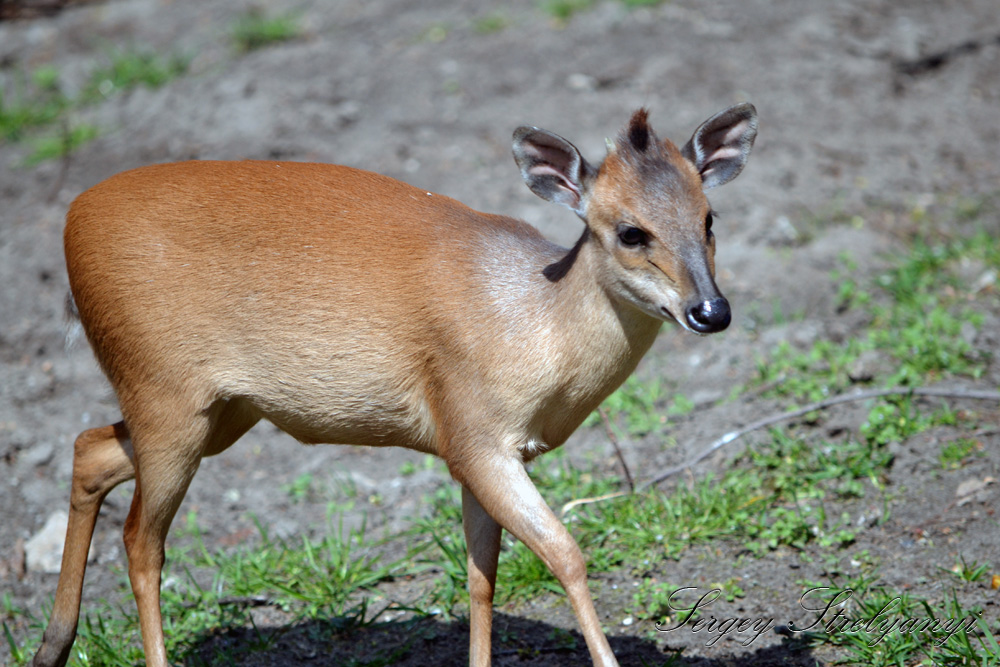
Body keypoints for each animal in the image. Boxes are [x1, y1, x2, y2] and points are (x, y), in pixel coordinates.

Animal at [33, 104, 756, 667]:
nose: (712, 311)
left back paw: (53, 643)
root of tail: (71, 220)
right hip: (164, 396)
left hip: (220, 411)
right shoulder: (476, 437)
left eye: (710, 218)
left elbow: (481, 576)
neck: (532, 321)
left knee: (89, 448)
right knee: (141, 542)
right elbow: (566, 553)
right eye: (631, 231)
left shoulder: (475, 453)